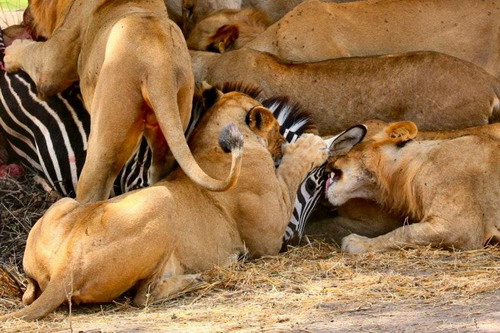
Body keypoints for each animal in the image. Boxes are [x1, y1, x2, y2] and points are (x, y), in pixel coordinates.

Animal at [0, 87, 328, 320]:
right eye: (277, 131)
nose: (279, 144)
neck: (210, 138)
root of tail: (67, 267)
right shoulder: (268, 238)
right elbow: (290, 171)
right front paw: (311, 147)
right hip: (162, 199)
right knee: (143, 295)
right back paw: (199, 276)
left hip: (66, 204)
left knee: (30, 293)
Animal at [3, 0, 234, 202]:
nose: (24, 15)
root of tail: (159, 65)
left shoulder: (49, 67)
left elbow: (29, 51)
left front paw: (10, 53)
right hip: (170, 130)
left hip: (105, 138)